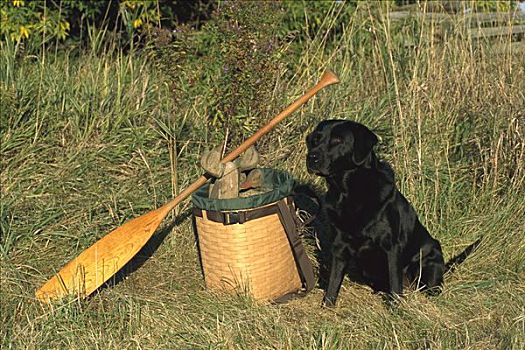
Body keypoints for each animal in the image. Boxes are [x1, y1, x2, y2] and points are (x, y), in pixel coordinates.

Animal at [304, 120, 482, 306]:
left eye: (337, 140)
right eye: (316, 140)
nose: (311, 157)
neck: (349, 192)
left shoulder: (391, 247)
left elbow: (395, 284)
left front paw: (396, 308)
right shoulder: (339, 247)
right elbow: (333, 282)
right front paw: (327, 306)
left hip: (430, 261)